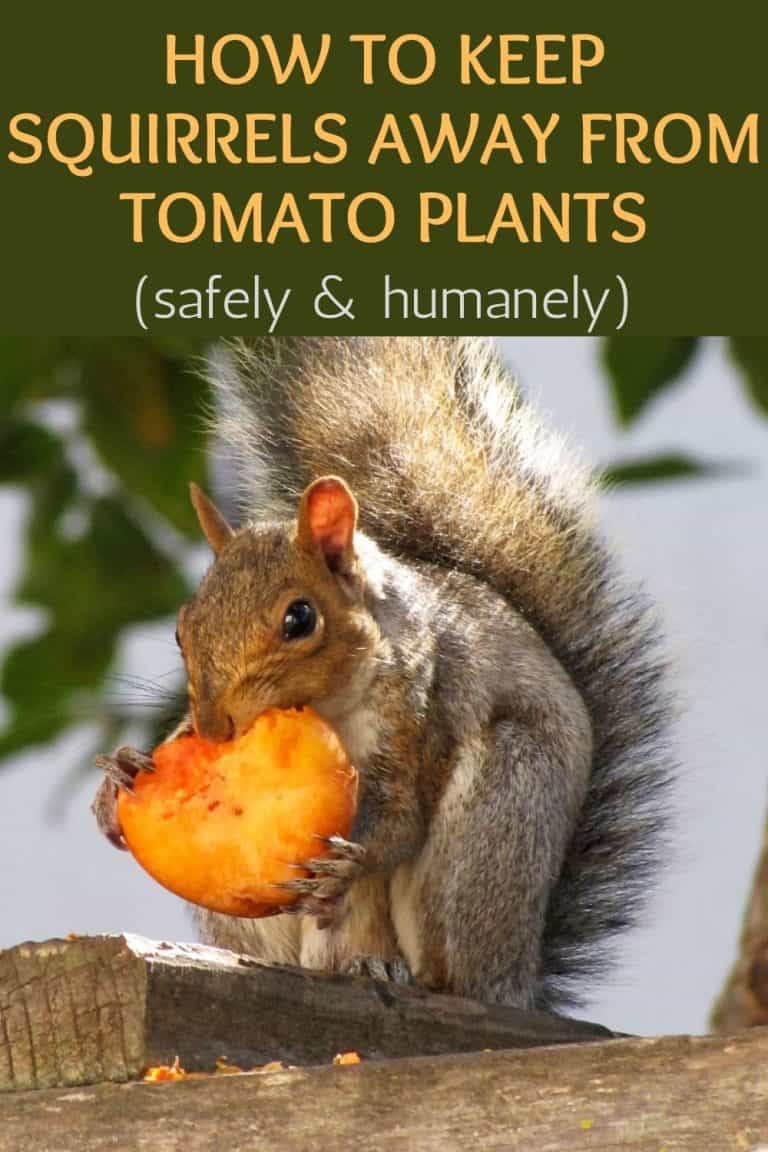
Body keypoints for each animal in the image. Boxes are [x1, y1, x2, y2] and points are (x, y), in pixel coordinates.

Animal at [93, 336, 674, 1012]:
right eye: (182, 628)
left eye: (300, 618)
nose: (214, 729)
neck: (330, 705)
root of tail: (517, 980)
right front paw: (120, 778)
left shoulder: (417, 710)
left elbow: (400, 818)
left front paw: (351, 864)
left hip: (493, 822)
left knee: (448, 961)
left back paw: (394, 971)